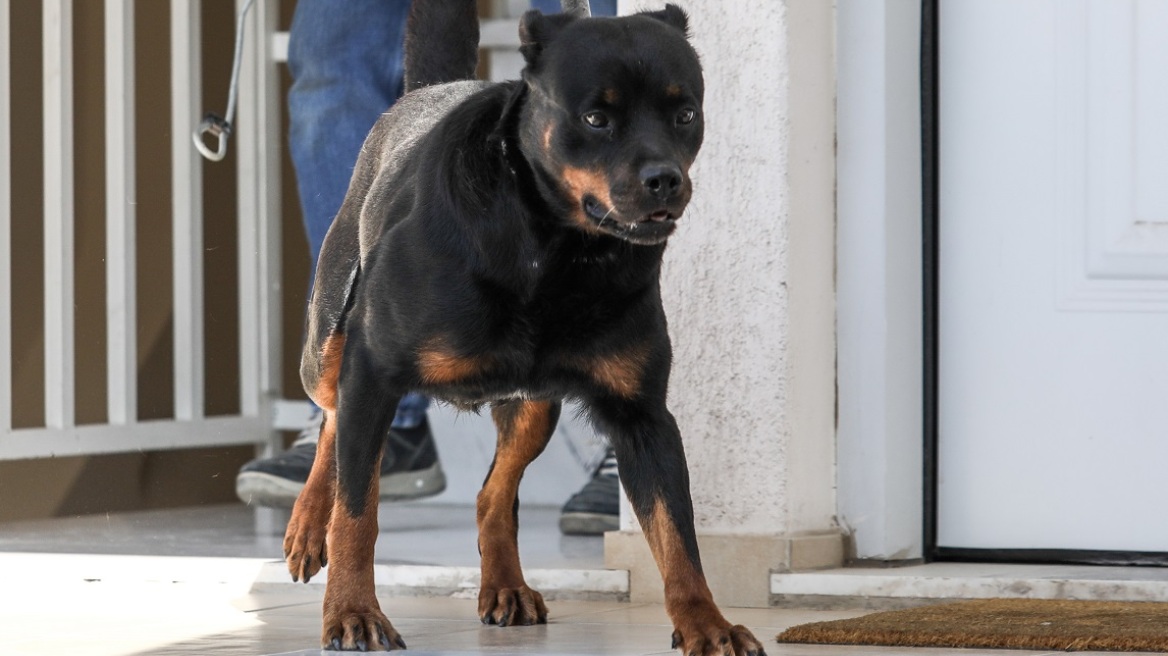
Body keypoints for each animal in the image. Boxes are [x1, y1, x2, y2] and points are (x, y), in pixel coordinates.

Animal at [279, 2, 761, 648]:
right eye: (596, 118)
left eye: (685, 115)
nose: (666, 179)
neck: (555, 250)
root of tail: (429, 91)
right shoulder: (374, 369)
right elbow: (358, 511)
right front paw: (353, 611)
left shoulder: (642, 416)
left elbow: (676, 535)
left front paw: (706, 624)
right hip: (329, 343)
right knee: (335, 420)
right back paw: (310, 523)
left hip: (534, 403)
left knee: (493, 493)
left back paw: (505, 584)